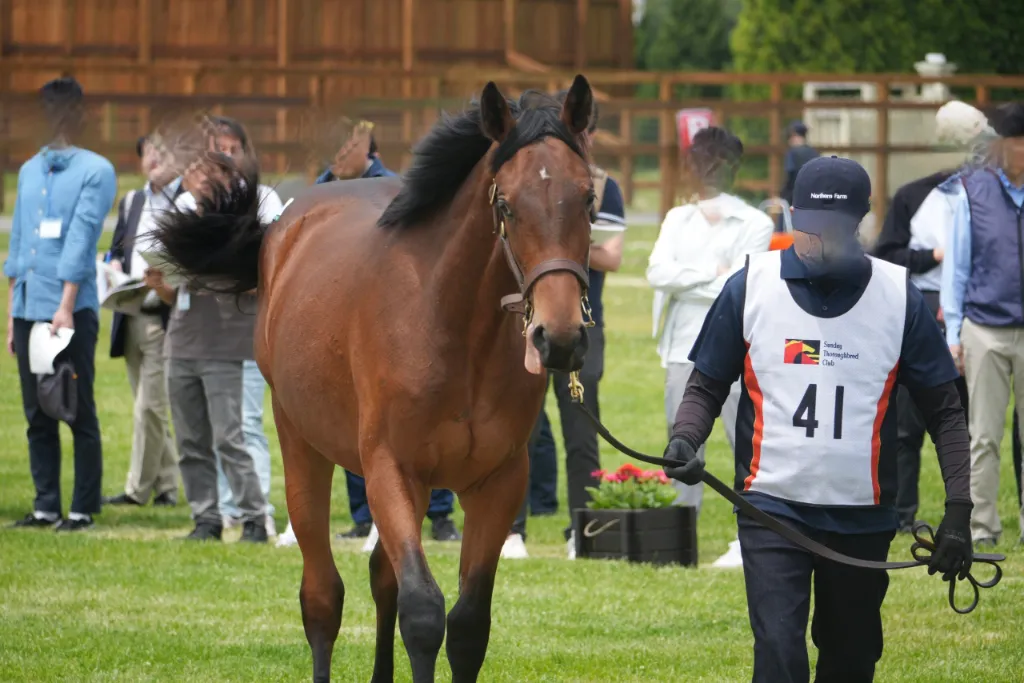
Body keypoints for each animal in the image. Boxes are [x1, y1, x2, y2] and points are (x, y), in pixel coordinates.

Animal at [155, 75, 599, 682]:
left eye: (589, 198)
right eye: (506, 203)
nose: (560, 336)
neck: (453, 326)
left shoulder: (499, 482)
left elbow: (467, 624)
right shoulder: (391, 467)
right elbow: (423, 611)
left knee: (380, 579)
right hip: (303, 448)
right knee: (322, 596)